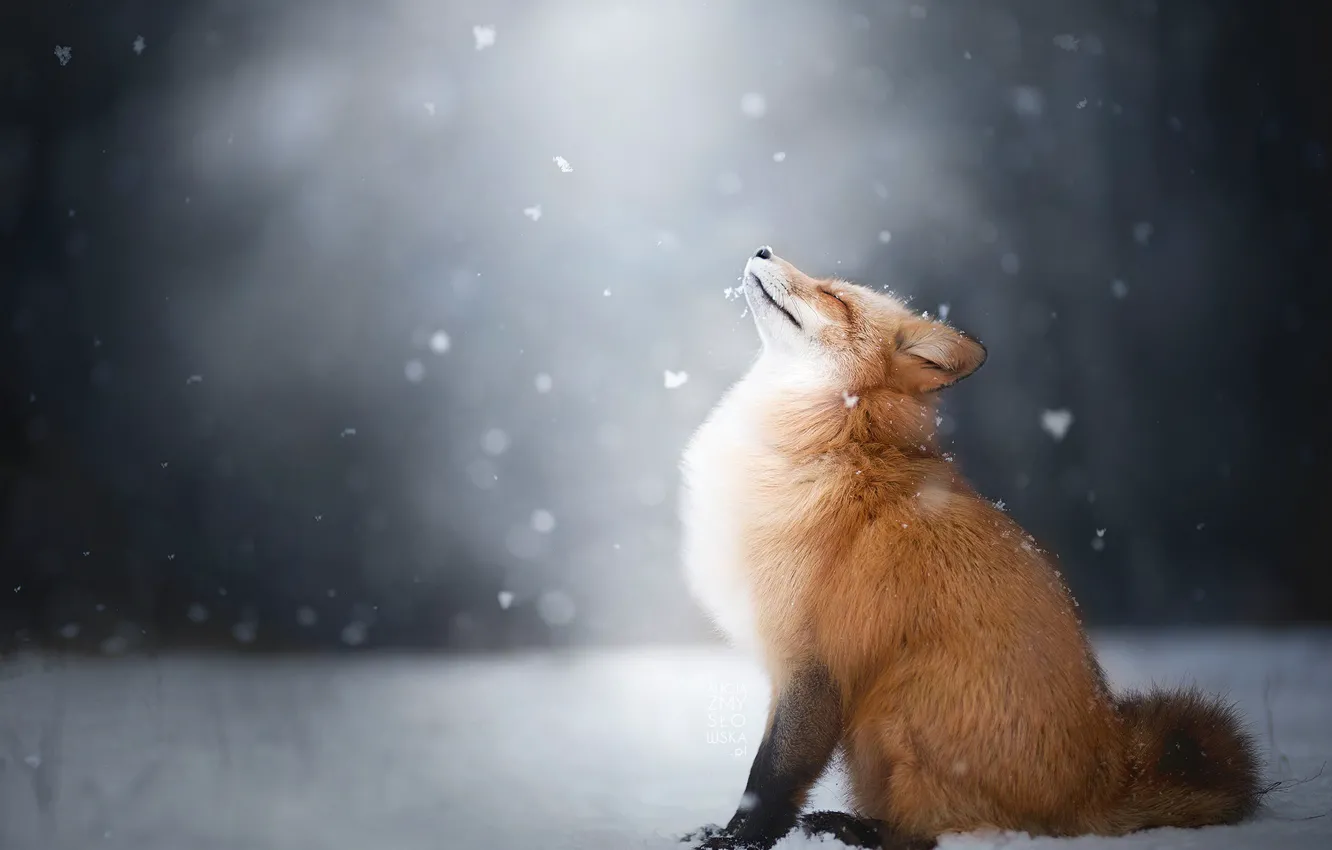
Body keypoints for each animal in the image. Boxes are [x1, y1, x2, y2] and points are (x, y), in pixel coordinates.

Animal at [677, 247, 1262, 849]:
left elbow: (770, 776)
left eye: (834, 296)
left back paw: (850, 827)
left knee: (925, 834)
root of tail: (1106, 780)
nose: (764, 250)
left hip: (893, 708)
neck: (836, 441)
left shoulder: (813, 663)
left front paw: (735, 840)